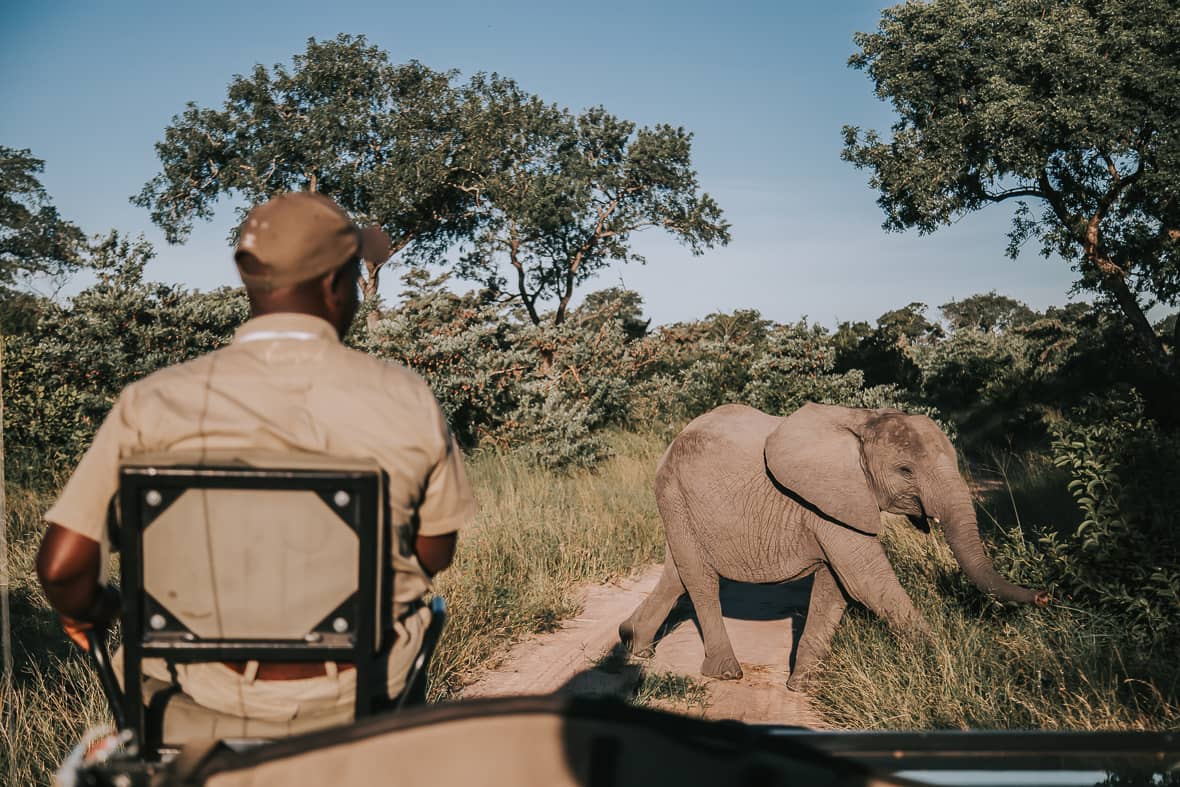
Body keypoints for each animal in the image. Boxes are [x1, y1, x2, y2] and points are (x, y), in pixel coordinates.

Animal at [619, 402, 1048, 690]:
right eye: (905, 471)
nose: (1044, 596)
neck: (863, 422)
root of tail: (674, 441)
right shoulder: (831, 500)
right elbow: (866, 581)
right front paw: (947, 662)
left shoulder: (836, 506)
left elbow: (836, 587)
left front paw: (803, 686)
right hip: (674, 492)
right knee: (700, 580)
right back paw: (725, 672)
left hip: (683, 505)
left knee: (677, 574)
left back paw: (634, 644)